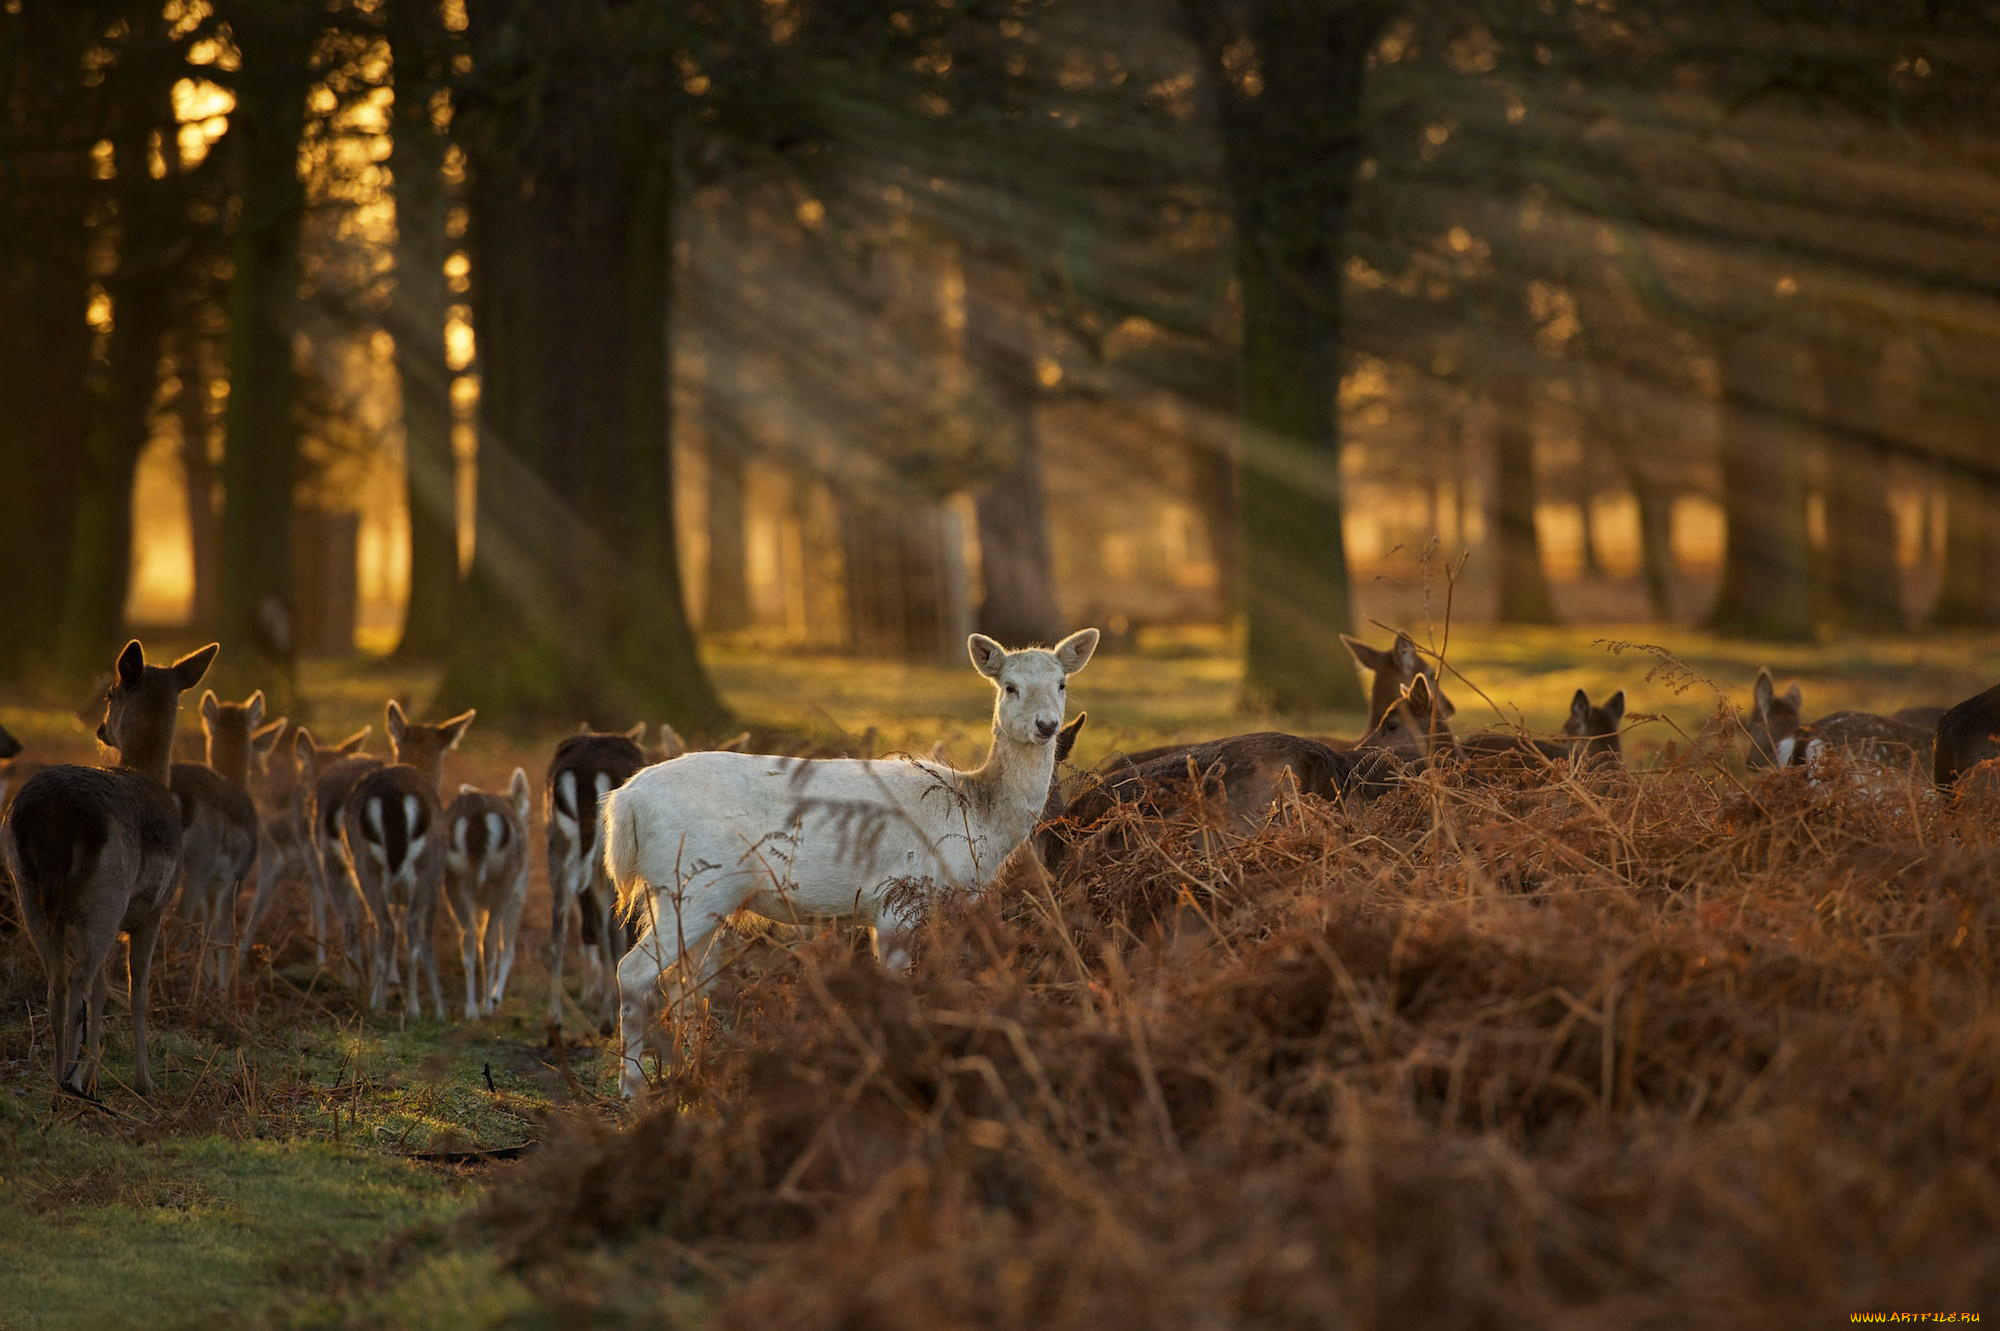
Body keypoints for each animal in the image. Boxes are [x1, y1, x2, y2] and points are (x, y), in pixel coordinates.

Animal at [0, 639, 217, 1095]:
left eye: (109, 695)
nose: (101, 730)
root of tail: (54, 815)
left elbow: (103, 990)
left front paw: (98, 1073)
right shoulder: (153, 910)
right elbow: (137, 991)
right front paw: (143, 1080)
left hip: (30, 893)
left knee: (58, 983)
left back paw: (60, 1079)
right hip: (105, 895)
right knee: (78, 979)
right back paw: (71, 1080)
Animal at [340, 699, 476, 1011]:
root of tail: (392, 797)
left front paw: (387, 987)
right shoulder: (437, 877)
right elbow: (425, 936)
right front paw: (438, 1005)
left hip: (365, 863)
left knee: (382, 924)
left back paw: (376, 1003)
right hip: (426, 864)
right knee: (410, 927)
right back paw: (413, 1007)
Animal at [446, 767, 536, 1015]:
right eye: (528, 816)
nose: (527, 823)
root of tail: (477, 819)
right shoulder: (518, 894)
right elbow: (507, 948)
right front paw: (496, 998)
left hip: (453, 879)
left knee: (468, 937)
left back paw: (470, 1010)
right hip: (505, 881)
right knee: (489, 941)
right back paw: (486, 1007)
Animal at [608, 627, 1112, 1095]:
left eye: (1062, 682)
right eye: (1010, 686)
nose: (1046, 725)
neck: (976, 817)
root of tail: (625, 802)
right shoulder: (898, 898)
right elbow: (897, 985)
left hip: (691, 895)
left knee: (682, 980)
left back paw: (690, 1073)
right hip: (694, 884)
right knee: (633, 971)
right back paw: (634, 1088)